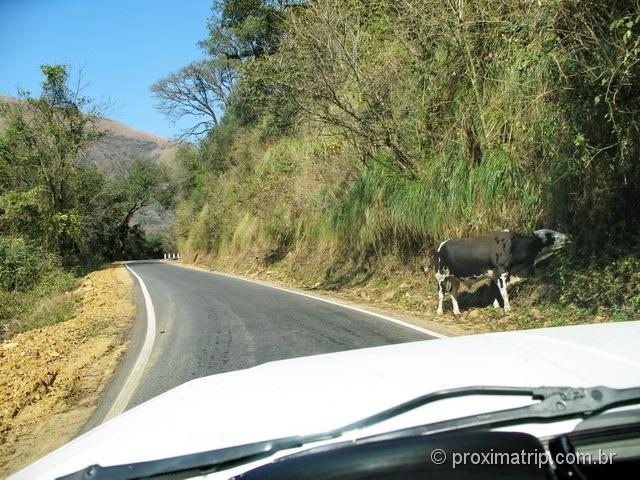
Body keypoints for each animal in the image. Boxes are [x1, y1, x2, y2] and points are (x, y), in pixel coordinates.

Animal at [432, 230, 568, 316]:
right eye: (550, 234)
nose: (566, 237)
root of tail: (441, 245)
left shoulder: (498, 275)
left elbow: (496, 292)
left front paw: (497, 306)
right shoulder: (500, 272)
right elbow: (504, 293)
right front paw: (507, 309)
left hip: (455, 278)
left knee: (453, 293)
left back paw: (457, 312)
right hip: (440, 277)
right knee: (441, 294)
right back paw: (439, 312)